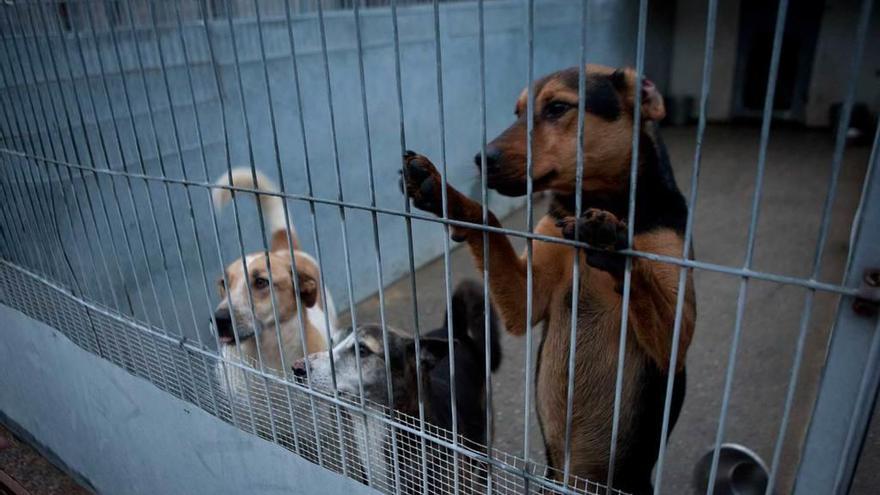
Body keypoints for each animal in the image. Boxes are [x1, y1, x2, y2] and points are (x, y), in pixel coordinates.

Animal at [398, 64, 696, 494]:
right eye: (518, 112)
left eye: (557, 108)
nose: (481, 158)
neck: (601, 200)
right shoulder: (528, 295)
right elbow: (488, 222)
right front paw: (446, 194)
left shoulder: (675, 342)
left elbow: (641, 277)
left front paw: (612, 242)